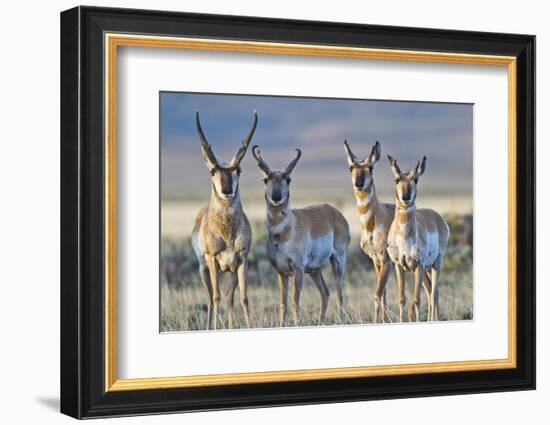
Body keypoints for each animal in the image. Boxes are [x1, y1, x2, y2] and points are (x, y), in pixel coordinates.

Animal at [191, 111, 258, 330]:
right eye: (213, 171)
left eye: (239, 170)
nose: (227, 190)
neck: (227, 233)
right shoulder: (212, 260)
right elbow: (216, 297)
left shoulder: (241, 261)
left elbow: (243, 298)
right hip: (204, 270)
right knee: (212, 299)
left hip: (229, 271)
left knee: (229, 298)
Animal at [252, 144, 352, 326]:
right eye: (265, 180)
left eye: (288, 180)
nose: (276, 197)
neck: (282, 235)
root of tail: (335, 212)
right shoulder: (281, 272)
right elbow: (283, 302)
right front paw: (282, 325)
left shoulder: (298, 269)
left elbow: (294, 301)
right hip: (314, 270)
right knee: (325, 292)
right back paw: (320, 321)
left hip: (337, 261)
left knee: (339, 291)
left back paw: (340, 319)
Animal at [344, 139, 396, 322]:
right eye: (351, 167)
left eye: (371, 167)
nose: (358, 184)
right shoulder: (376, 260)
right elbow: (384, 293)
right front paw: (384, 321)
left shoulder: (386, 260)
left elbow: (377, 295)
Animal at [386, 156, 450, 322]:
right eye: (396, 179)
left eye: (416, 179)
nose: (406, 197)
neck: (404, 237)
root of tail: (438, 218)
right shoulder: (399, 266)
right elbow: (402, 298)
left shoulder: (418, 265)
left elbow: (416, 300)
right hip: (426, 269)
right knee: (431, 291)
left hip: (435, 264)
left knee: (434, 293)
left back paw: (433, 320)